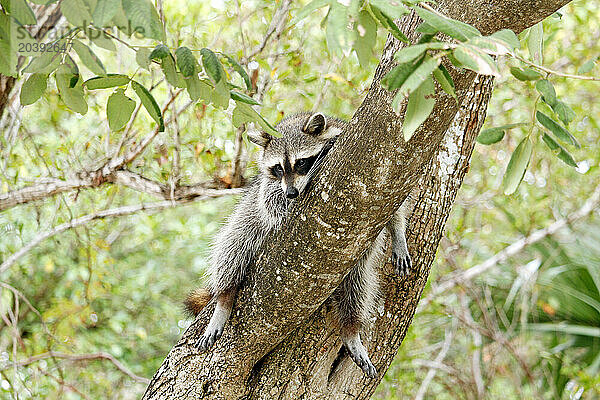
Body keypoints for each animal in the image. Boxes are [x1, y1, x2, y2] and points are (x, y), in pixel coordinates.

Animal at [186, 111, 412, 378]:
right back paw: (224, 298)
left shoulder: (387, 171)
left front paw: (398, 233)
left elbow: (396, 203)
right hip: (248, 218)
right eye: (278, 168)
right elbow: (272, 202)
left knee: (357, 287)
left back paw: (351, 328)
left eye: (301, 162)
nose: (292, 193)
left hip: (353, 260)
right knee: (233, 246)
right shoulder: (269, 188)